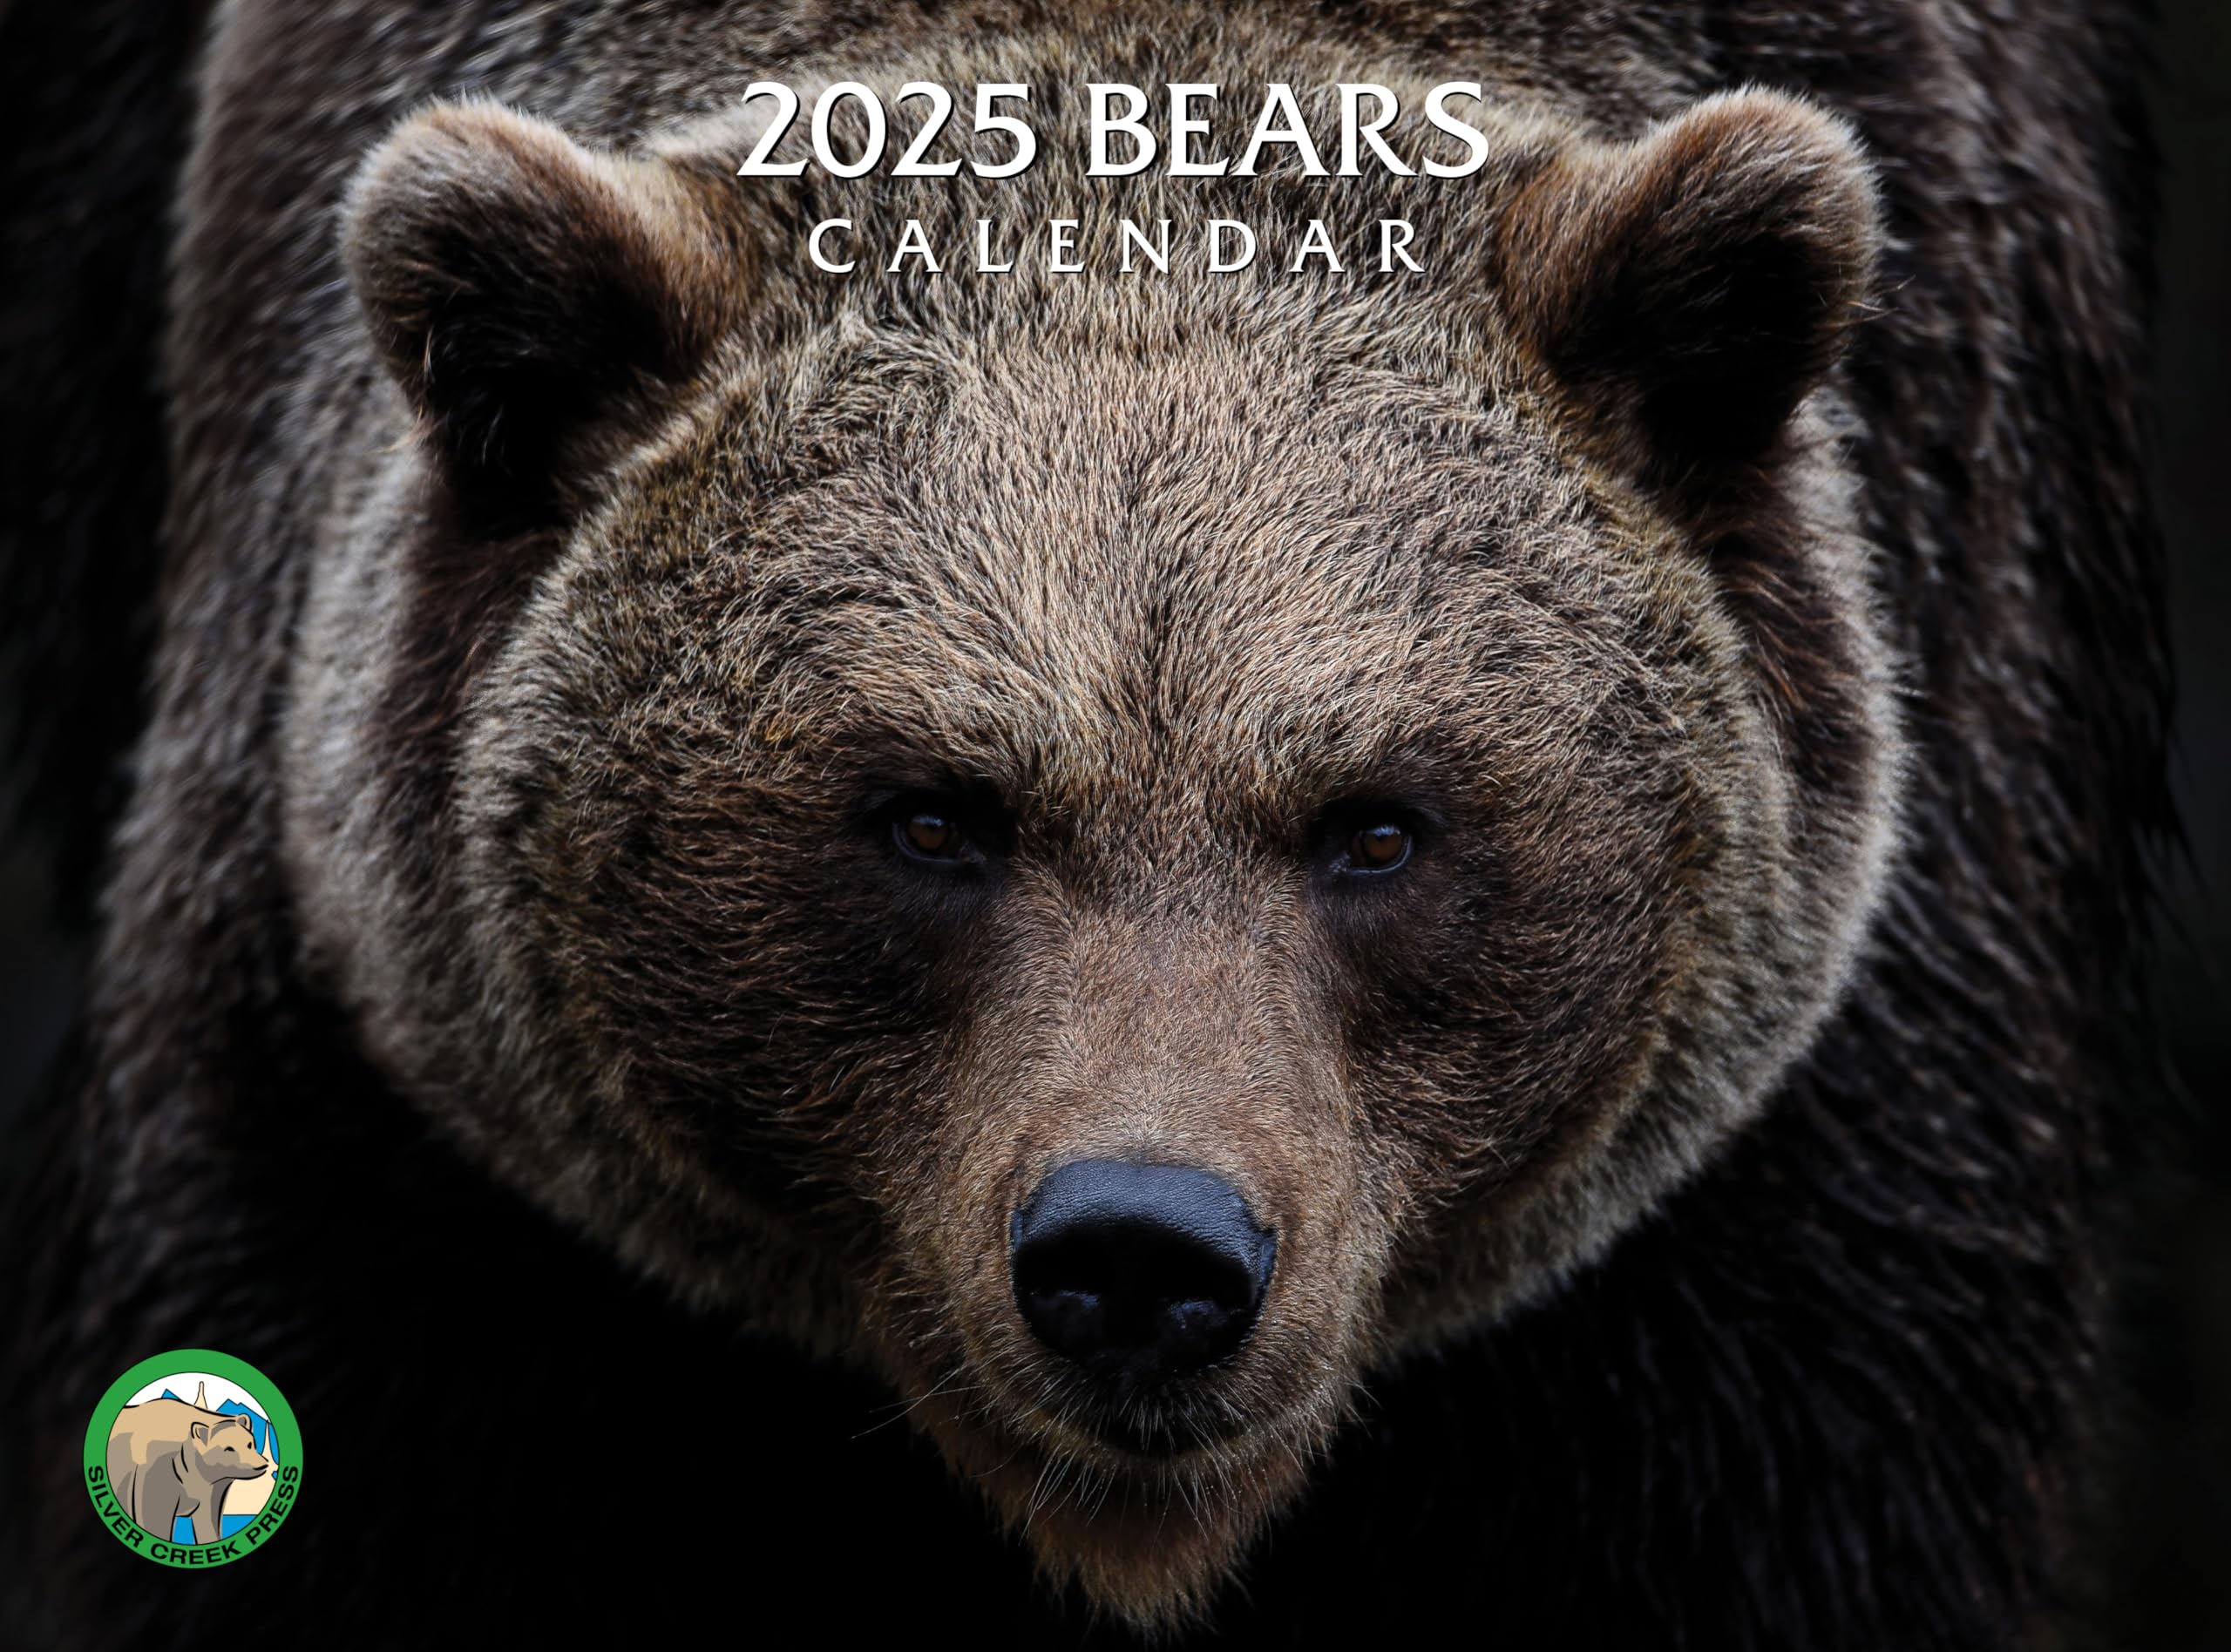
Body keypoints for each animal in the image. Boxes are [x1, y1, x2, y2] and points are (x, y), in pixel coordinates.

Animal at [104, 1400, 270, 1545]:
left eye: (249, 1443)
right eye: (229, 1448)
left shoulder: (209, 1487)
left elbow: (208, 1519)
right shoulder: (156, 1473)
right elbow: (155, 1519)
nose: (262, 1464)